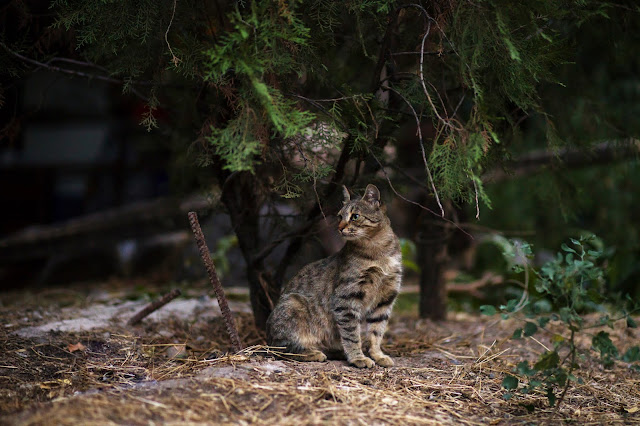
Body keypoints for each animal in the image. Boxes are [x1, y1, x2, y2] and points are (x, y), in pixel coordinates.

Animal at [266, 184, 402, 368]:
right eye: (339, 216)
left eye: (355, 216)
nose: (340, 228)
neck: (378, 252)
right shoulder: (345, 299)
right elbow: (352, 335)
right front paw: (358, 358)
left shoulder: (385, 299)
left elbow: (376, 332)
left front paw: (377, 355)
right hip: (293, 305)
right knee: (281, 349)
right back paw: (313, 353)